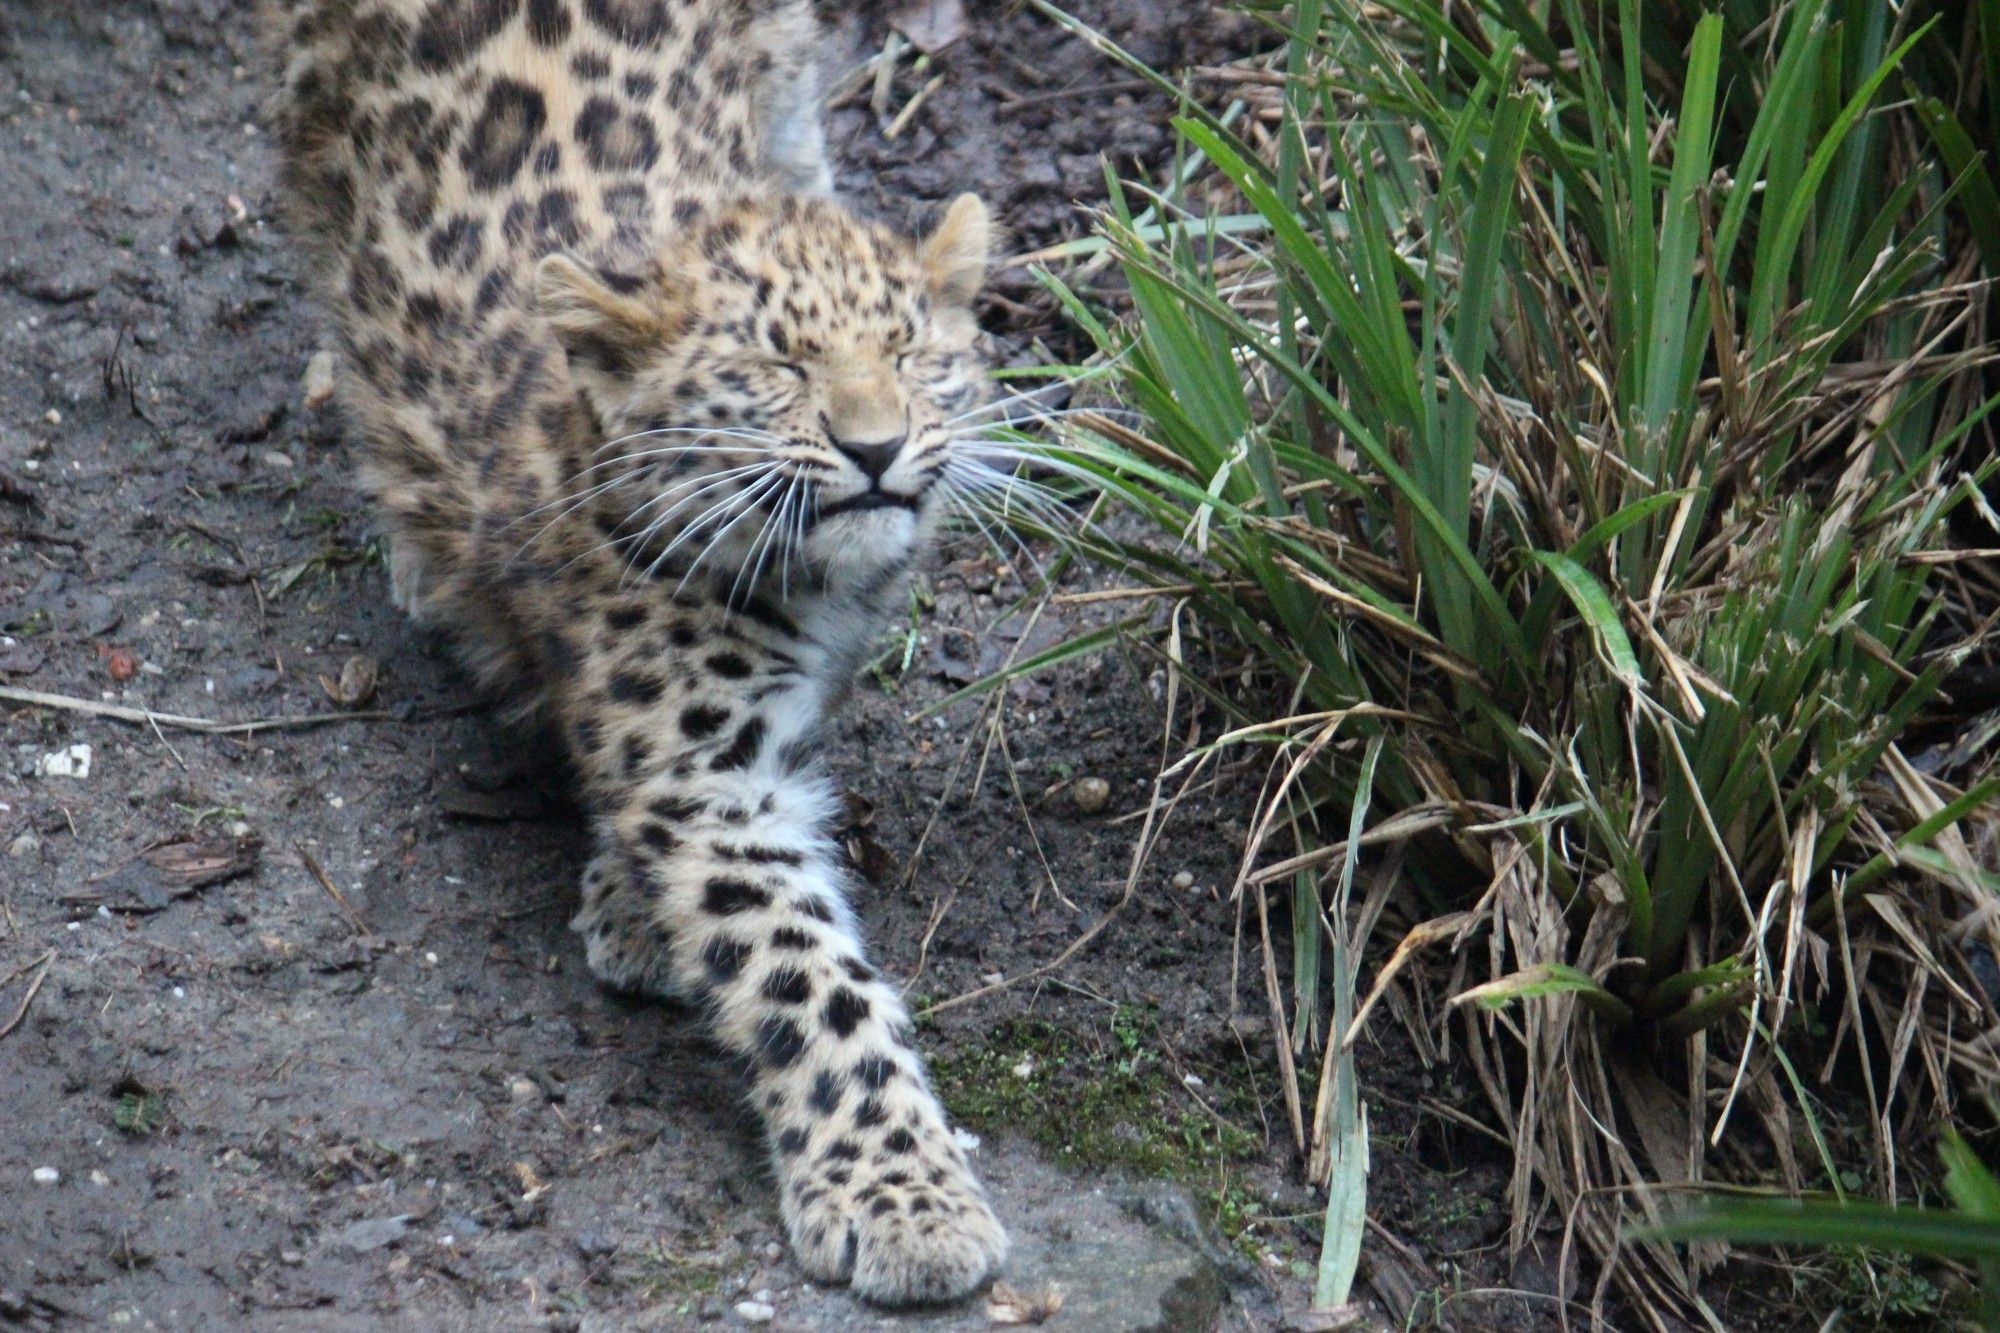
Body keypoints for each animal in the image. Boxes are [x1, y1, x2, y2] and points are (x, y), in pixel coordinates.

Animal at [266, 0, 1008, 1296]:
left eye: (913, 354)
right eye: (776, 364)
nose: (875, 447)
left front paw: (624, 902)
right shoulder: (702, 782)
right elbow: (812, 985)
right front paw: (905, 1200)